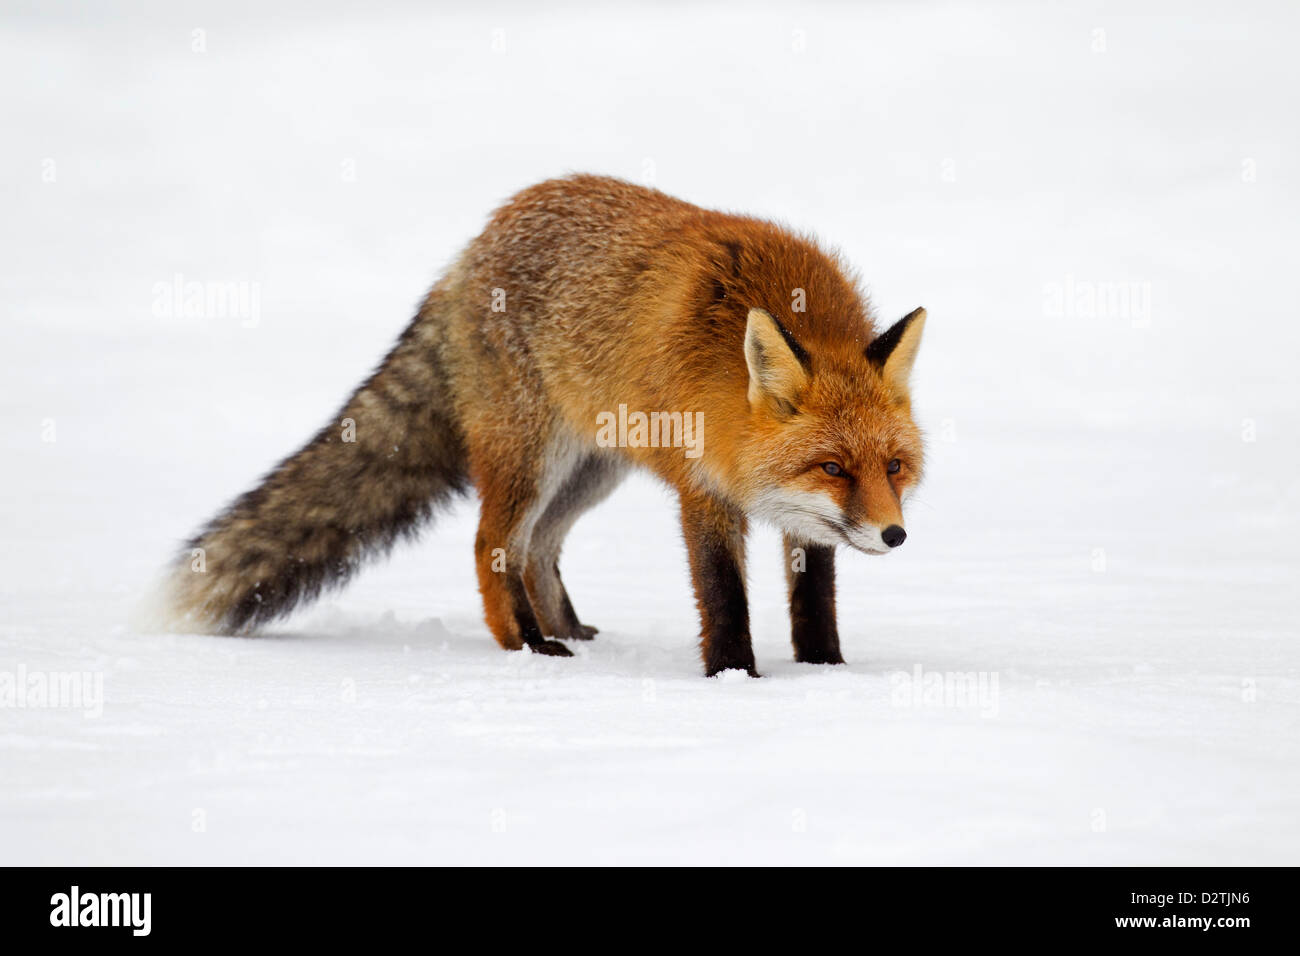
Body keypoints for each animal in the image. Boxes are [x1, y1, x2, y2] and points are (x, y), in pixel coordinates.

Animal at [162, 175, 930, 676]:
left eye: (893, 467)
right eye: (832, 467)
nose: (896, 534)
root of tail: (472, 247)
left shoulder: (802, 521)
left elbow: (814, 598)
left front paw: (826, 672)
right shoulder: (702, 489)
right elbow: (722, 596)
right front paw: (733, 677)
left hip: (593, 467)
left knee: (538, 547)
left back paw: (573, 634)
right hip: (531, 456)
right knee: (492, 544)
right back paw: (529, 647)